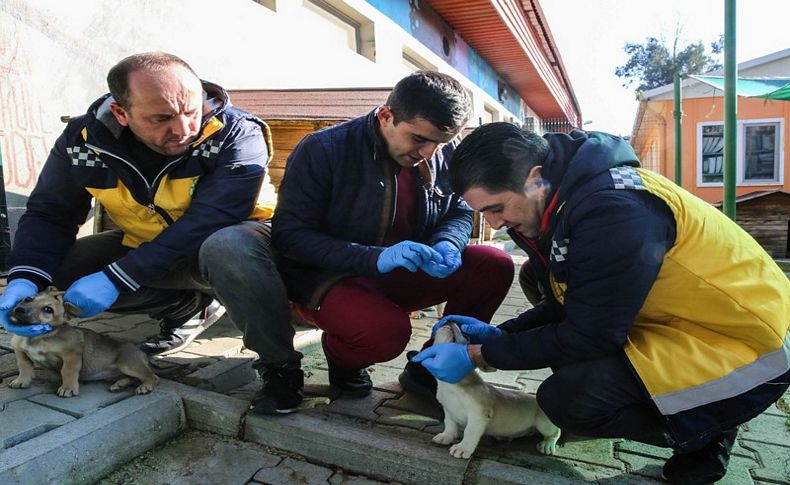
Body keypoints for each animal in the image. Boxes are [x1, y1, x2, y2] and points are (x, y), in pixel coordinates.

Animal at [6, 286, 159, 396]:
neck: (36, 337)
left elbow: (68, 371)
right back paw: (120, 384)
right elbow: (24, 367)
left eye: (48, 309)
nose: (19, 310)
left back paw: (145, 386)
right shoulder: (20, 351)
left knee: (152, 376)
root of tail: (142, 354)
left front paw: (68, 388)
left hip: (128, 364)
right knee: (133, 378)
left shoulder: (71, 354)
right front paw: (21, 381)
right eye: (27, 299)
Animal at [434, 324, 564, 456]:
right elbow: (450, 425)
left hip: (544, 424)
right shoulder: (449, 411)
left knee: (556, 432)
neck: (450, 386)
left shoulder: (478, 415)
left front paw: (463, 448)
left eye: (466, 336)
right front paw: (446, 436)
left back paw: (547, 444)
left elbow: (469, 432)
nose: (450, 322)